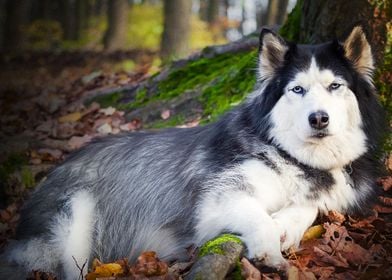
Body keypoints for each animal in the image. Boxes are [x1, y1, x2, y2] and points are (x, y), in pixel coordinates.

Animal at [0, 25, 384, 278]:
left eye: (335, 86)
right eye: (297, 89)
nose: (318, 118)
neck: (296, 158)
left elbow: (310, 207)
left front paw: (285, 225)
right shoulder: (216, 201)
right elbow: (257, 215)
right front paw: (270, 247)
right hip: (71, 225)